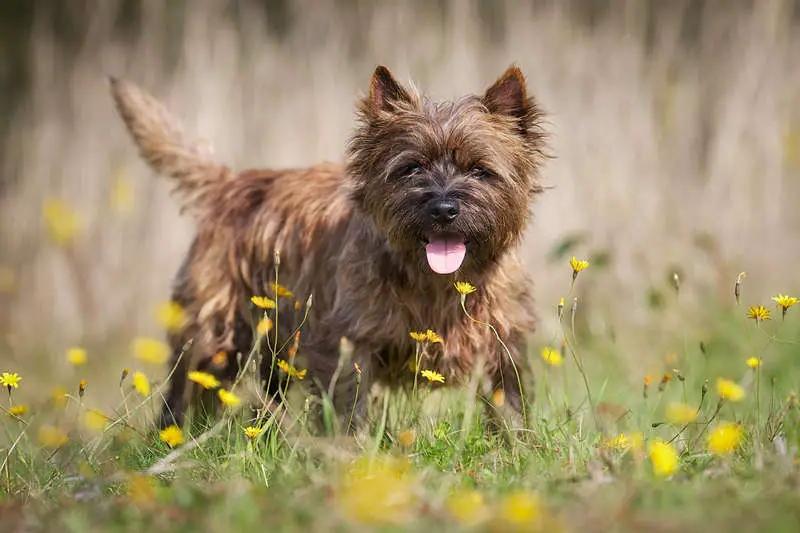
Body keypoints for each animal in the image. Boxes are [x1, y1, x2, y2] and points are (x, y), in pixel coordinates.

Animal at [109, 65, 548, 428]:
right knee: (186, 390)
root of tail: (229, 184)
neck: (437, 282)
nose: (443, 208)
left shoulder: (503, 338)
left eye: (480, 170)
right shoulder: (349, 343)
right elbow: (350, 406)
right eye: (411, 168)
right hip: (214, 332)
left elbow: (509, 402)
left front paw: (516, 447)